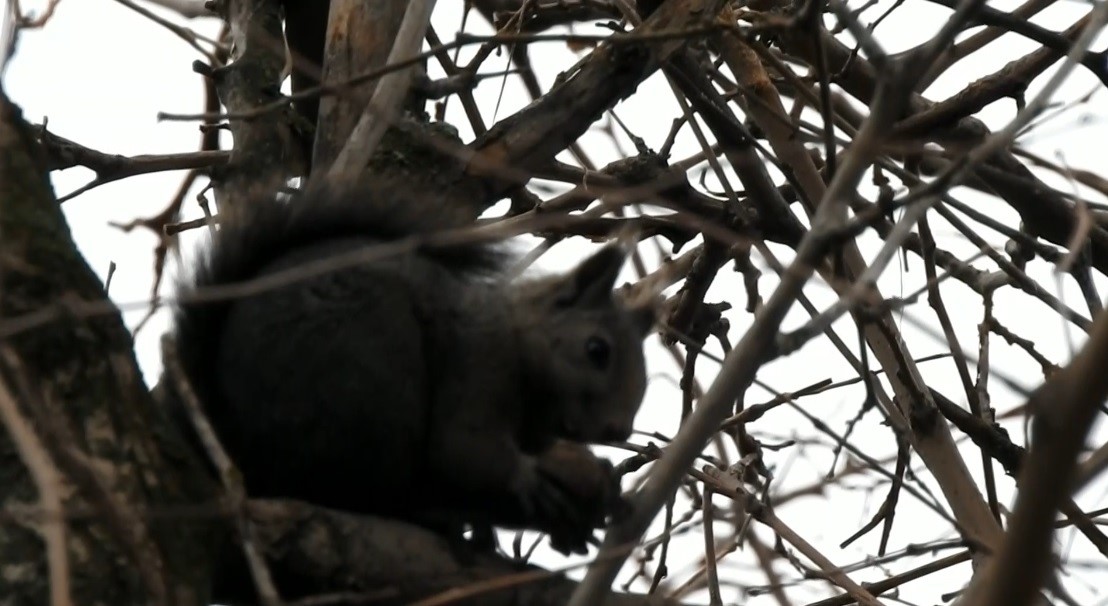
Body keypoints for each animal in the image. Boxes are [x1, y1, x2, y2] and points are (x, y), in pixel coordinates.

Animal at [170, 176, 655, 553]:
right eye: (597, 350)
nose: (618, 430)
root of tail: (242, 455)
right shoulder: (478, 368)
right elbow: (462, 452)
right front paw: (528, 480)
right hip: (368, 382)